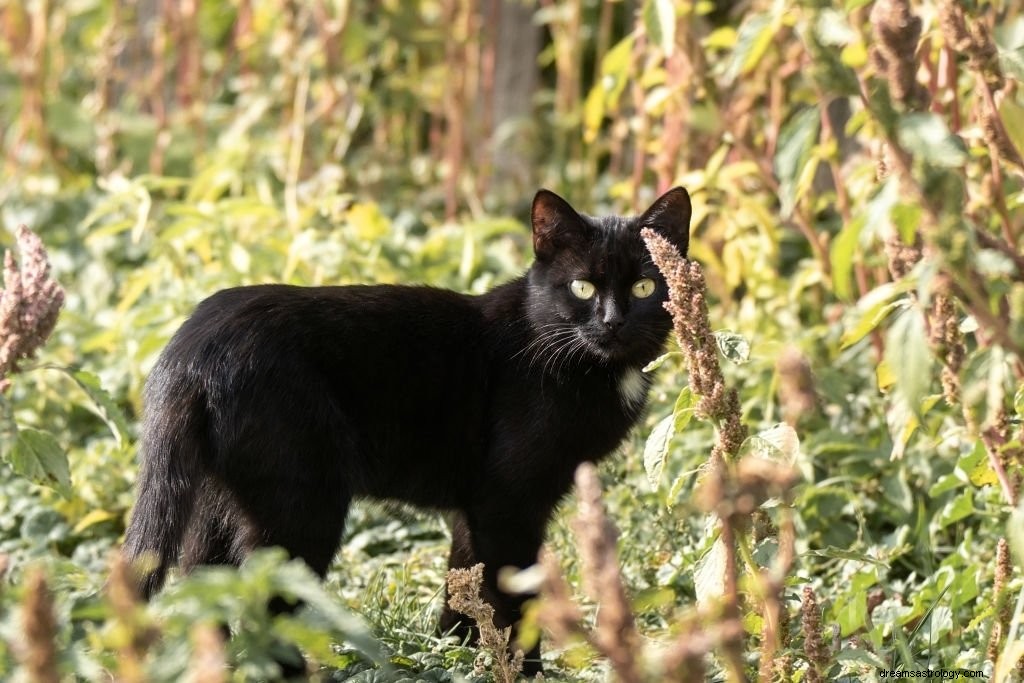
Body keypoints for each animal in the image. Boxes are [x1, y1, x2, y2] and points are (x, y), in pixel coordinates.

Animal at [123, 185, 692, 671]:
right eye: (582, 287)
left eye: (644, 285)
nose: (613, 321)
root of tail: (189, 349)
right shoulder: (508, 502)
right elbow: (515, 600)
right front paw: (521, 671)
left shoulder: (475, 506)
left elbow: (463, 582)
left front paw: (453, 655)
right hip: (302, 505)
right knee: (268, 608)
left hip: (216, 503)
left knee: (207, 596)